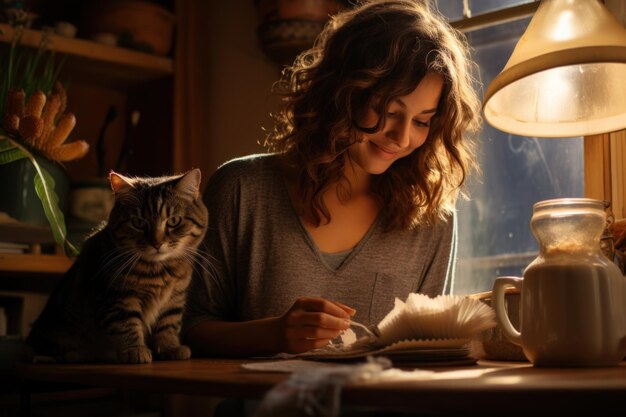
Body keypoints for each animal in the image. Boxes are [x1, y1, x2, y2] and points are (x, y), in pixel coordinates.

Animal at [26, 167, 207, 362]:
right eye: (138, 222)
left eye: (173, 221)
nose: (156, 243)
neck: (159, 270)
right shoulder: (118, 298)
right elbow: (127, 325)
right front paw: (135, 350)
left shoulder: (174, 298)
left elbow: (168, 324)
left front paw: (170, 348)